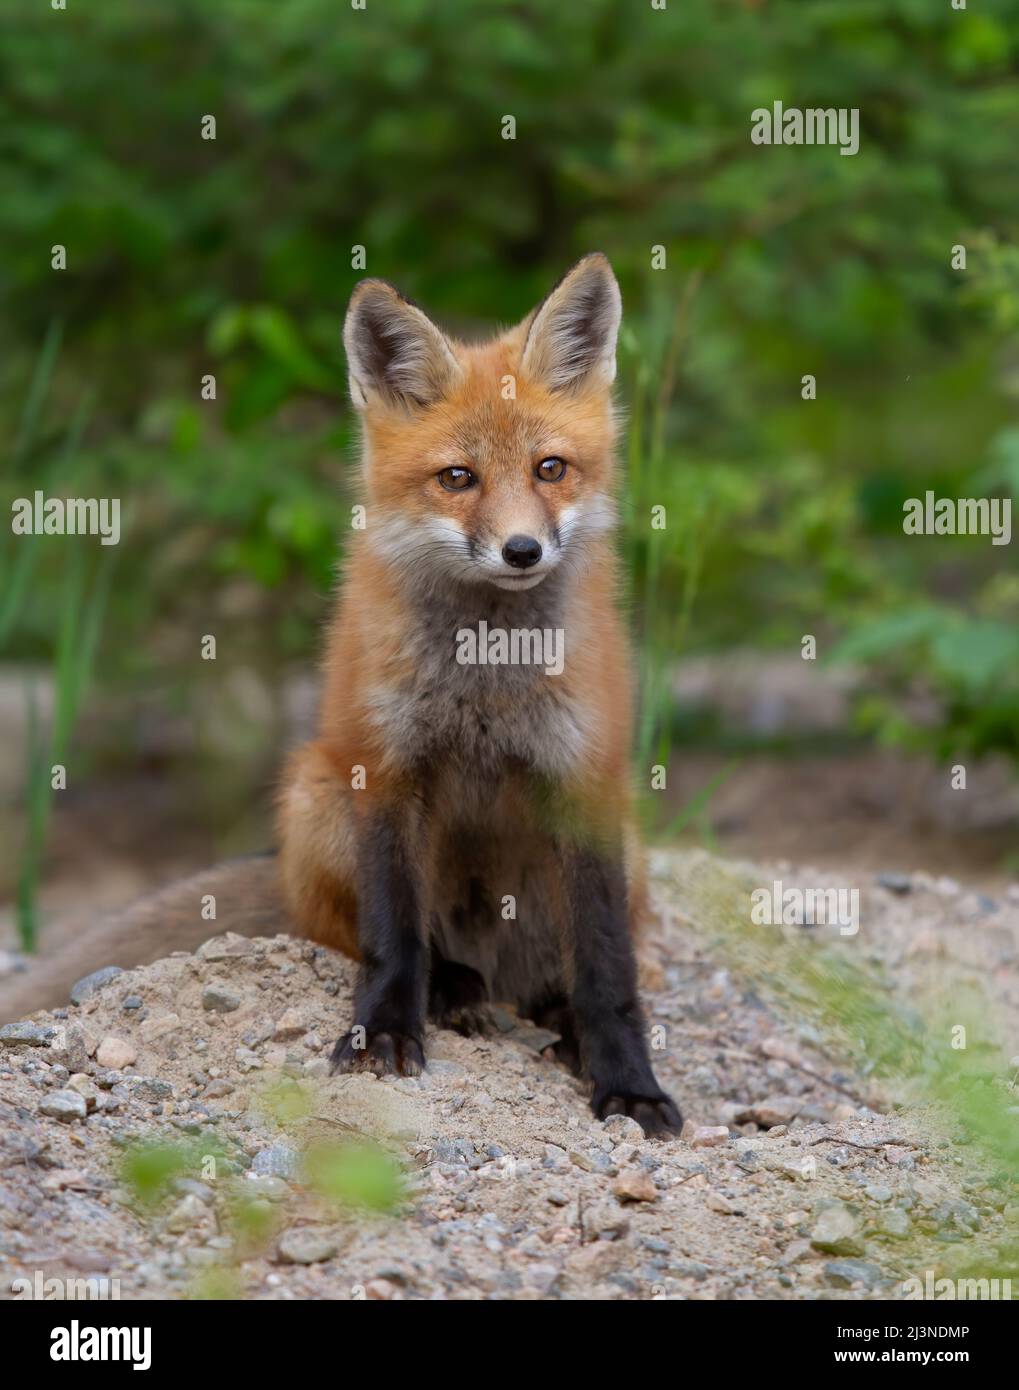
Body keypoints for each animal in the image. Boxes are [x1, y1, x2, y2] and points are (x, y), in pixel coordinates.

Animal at [276, 253, 681, 1137]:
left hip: (627, 844)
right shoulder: (386, 769)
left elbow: (608, 969)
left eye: (549, 469)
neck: (488, 673)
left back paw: (552, 1018)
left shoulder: (583, 778)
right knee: (359, 934)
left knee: (560, 980)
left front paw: (628, 1082)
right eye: (457, 479)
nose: (522, 549)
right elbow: (391, 936)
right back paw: (454, 985)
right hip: (314, 794)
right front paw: (384, 1031)